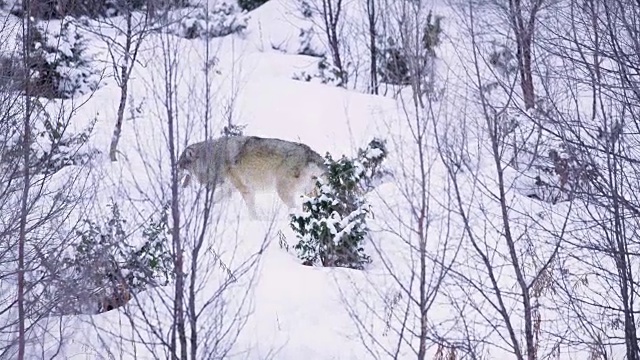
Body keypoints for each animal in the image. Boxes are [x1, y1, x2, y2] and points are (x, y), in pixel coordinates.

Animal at [178, 135, 328, 218]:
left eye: (179, 164)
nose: (174, 168)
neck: (213, 157)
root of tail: (309, 152)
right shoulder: (229, 189)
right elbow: (213, 201)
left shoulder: (246, 189)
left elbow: (251, 210)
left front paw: (255, 220)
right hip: (309, 192)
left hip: (284, 191)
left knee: (295, 208)